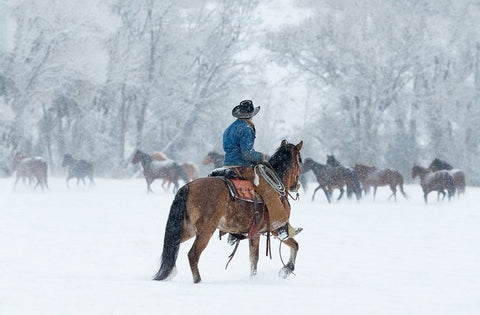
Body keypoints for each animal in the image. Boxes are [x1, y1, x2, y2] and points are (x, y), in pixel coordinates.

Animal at [154, 141, 304, 284]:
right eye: (299, 162)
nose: (297, 185)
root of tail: (187, 187)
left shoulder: (256, 234)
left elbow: (254, 260)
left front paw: (253, 279)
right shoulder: (275, 229)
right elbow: (295, 245)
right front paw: (286, 270)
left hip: (188, 228)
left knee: (173, 245)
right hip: (206, 230)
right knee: (193, 254)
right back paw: (198, 281)